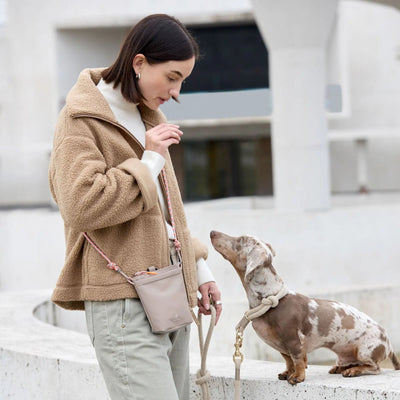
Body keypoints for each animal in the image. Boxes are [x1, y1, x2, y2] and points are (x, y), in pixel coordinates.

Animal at [211, 231, 398, 384]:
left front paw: (298, 377)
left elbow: (298, 360)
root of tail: (388, 344)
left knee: (374, 368)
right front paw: (288, 373)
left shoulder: (293, 340)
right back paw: (340, 368)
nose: (212, 232)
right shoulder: (283, 346)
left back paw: (354, 371)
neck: (271, 299)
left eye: (240, 240)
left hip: (366, 351)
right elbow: (288, 360)